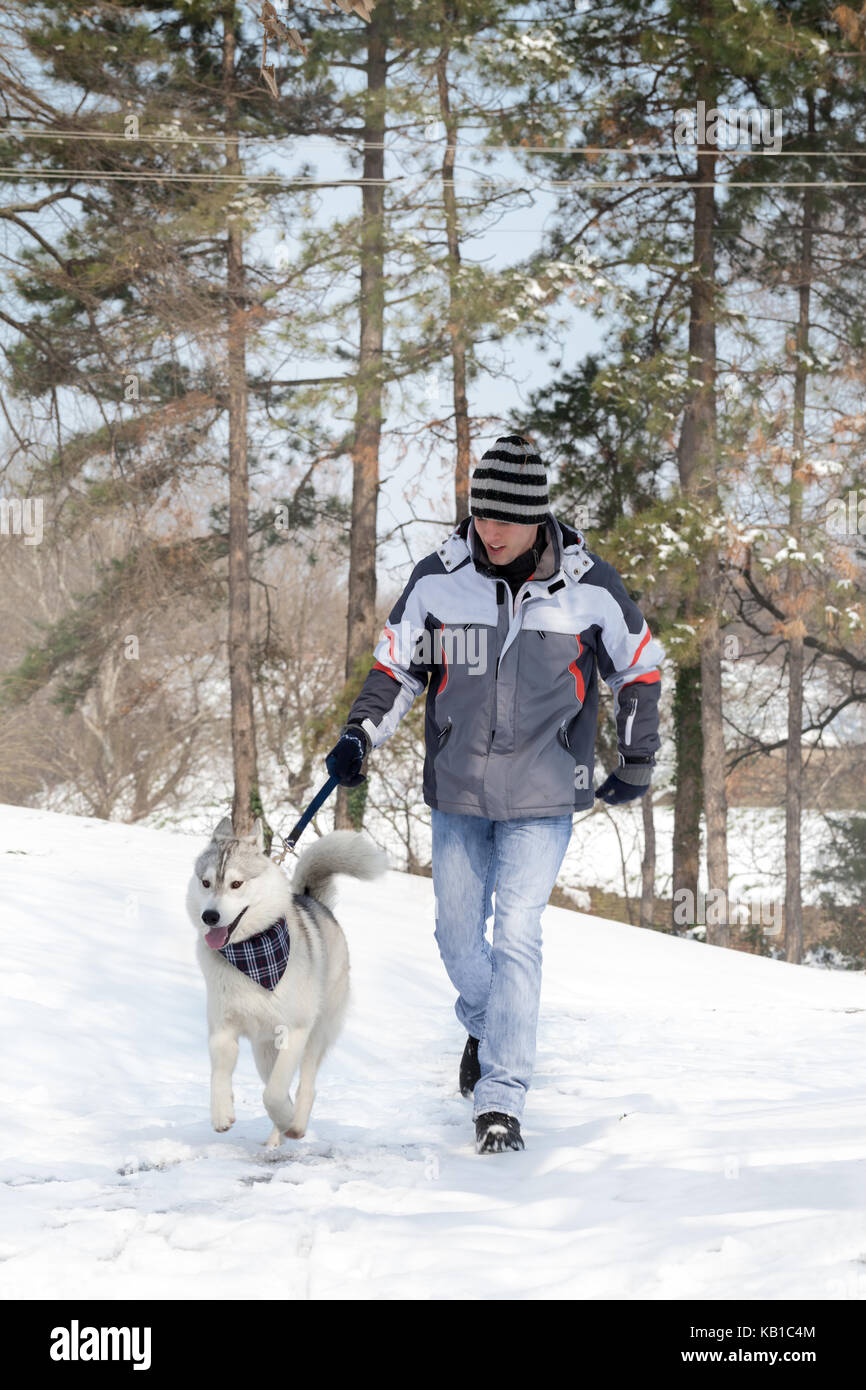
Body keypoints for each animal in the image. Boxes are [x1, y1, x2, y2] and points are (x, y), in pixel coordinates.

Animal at [187, 817, 389, 1145]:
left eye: (236, 884)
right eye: (205, 883)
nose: (210, 916)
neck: (252, 954)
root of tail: (311, 900)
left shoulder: (294, 1030)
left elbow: (274, 1093)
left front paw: (286, 1118)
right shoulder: (222, 1028)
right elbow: (219, 1073)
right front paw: (221, 1113)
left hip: (317, 1032)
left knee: (305, 1084)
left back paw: (294, 1123)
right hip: (263, 1051)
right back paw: (275, 1139)